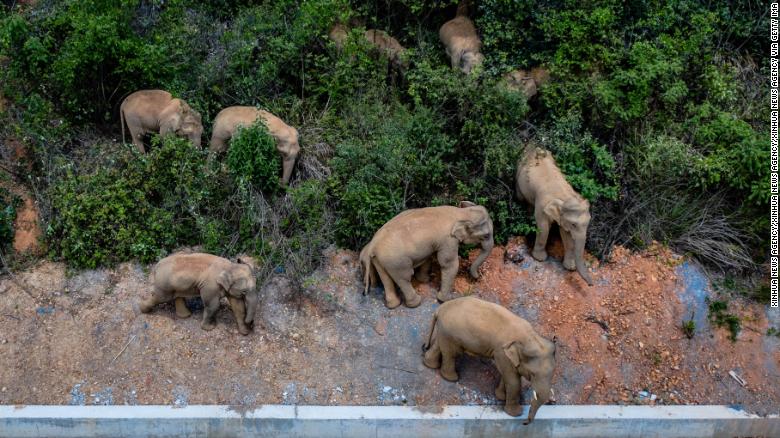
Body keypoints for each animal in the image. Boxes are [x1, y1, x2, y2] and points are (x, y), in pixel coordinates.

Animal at [360, 202, 494, 308]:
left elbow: (428, 257)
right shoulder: (448, 240)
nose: (477, 278)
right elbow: (449, 264)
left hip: (380, 259)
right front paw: (447, 300)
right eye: (486, 235)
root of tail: (373, 245)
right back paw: (416, 303)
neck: (461, 213)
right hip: (396, 261)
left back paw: (393, 305)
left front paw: (426, 280)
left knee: (386, 278)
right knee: (404, 277)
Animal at [424, 296, 556, 422]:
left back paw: (430, 364)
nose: (525, 422)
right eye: (533, 374)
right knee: (451, 353)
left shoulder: (505, 356)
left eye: (552, 373)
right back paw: (452, 378)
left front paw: (501, 397)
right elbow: (513, 381)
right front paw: (515, 414)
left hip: (445, 331)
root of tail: (440, 309)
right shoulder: (502, 352)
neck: (531, 338)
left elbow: (506, 376)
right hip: (451, 332)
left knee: (439, 346)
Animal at [516, 145, 596, 286]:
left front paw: (570, 267)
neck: (564, 196)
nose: (591, 284)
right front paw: (540, 259)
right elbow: (543, 227)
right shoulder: (542, 205)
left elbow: (566, 234)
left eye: (588, 223)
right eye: (574, 224)